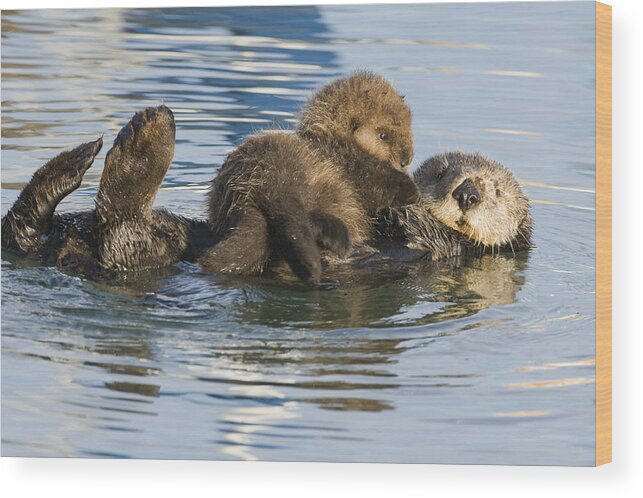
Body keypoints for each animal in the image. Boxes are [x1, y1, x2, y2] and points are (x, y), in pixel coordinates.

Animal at [203, 72, 422, 286]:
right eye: (383, 135)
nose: (406, 159)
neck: (332, 137)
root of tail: (250, 192)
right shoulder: (352, 162)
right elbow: (380, 183)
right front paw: (412, 189)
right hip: (287, 171)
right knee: (293, 217)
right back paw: (319, 258)